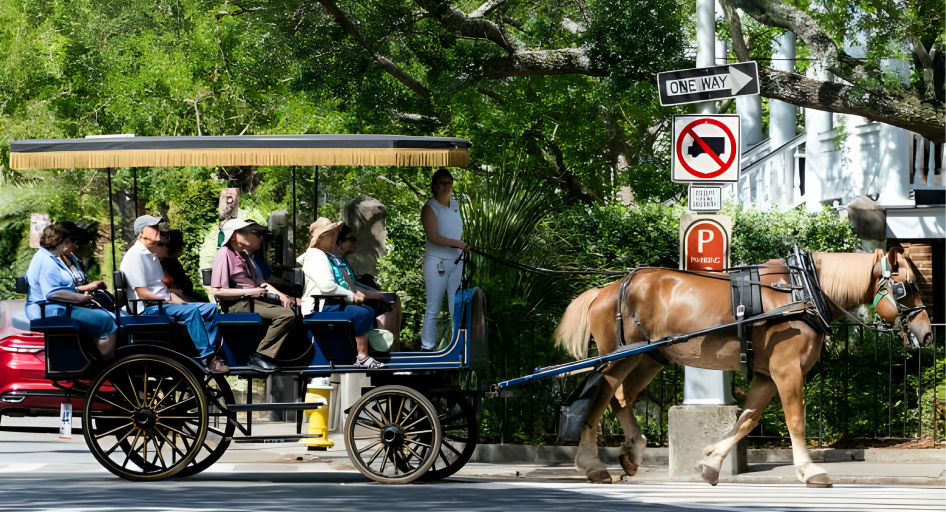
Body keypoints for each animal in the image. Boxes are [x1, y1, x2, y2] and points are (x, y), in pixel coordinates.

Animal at [552, 248, 928, 488]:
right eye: (905, 287)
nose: (925, 332)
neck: (803, 291)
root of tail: (608, 288)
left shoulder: (766, 375)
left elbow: (746, 420)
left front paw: (710, 463)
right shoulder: (787, 370)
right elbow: (794, 420)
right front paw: (809, 471)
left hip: (648, 359)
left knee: (621, 399)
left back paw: (632, 451)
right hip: (619, 358)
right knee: (598, 400)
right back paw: (592, 465)